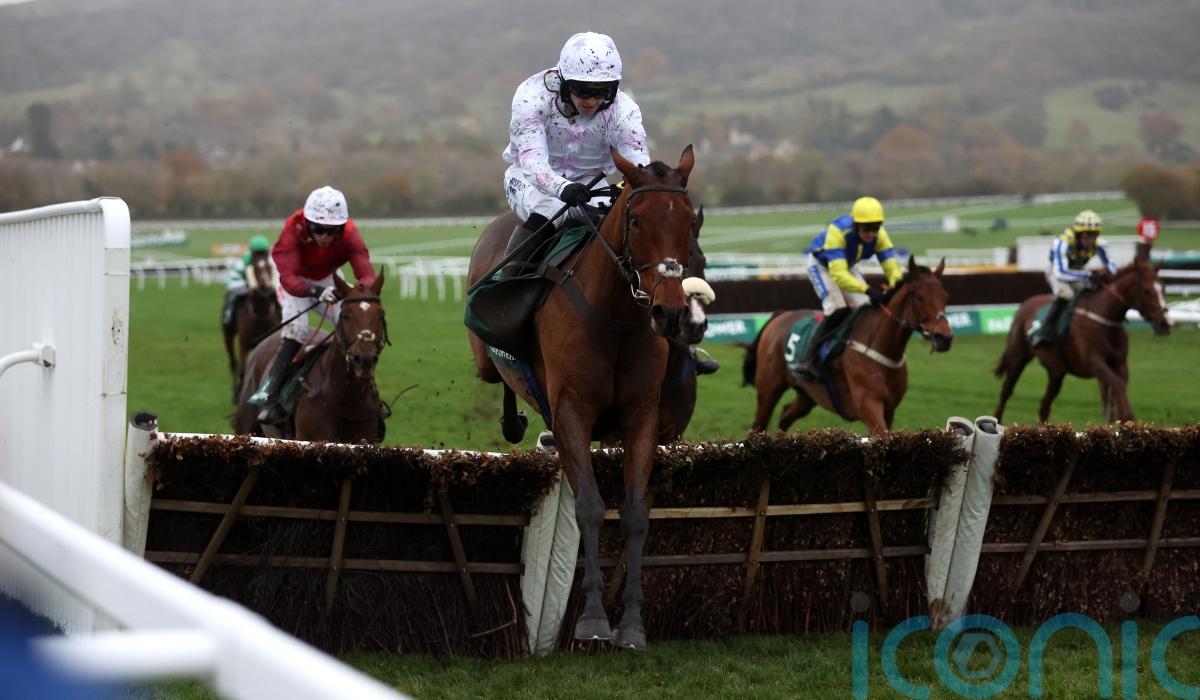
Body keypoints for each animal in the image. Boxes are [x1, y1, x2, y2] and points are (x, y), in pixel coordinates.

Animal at [223, 254, 281, 403]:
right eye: (255, 268)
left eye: (269, 267)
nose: (267, 286)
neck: (260, 314)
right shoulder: (243, 342)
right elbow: (242, 370)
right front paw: (239, 394)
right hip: (228, 335)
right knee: (233, 362)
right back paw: (235, 392)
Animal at [466, 146, 704, 650]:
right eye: (635, 219)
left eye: (688, 221)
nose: (671, 313)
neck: (615, 316)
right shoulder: (573, 413)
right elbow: (590, 508)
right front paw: (593, 620)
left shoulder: (641, 418)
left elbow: (634, 513)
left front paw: (631, 624)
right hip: (485, 355)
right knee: (498, 376)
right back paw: (515, 420)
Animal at [741, 257, 953, 436]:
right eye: (919, 296)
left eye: (945, 296)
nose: (944, 338)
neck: (882, 348)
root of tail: (779, 315)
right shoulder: (869, 404)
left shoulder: (889, 409)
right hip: (769, 389)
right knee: (758, 425)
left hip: (807, 393)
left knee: (785, 415)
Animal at [993, 258, 1170, 423]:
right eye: (1147, 291)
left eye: (1163, 288)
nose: (1164, 324)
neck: (1104, 320)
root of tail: (1024, 304)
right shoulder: (1093, 362)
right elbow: (1117, 385)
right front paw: (1127, 418)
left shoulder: (1120, 363)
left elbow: (1116, 390)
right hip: (1018, 356)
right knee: (1006, 391)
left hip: (1056, 371)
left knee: (1044, 405)